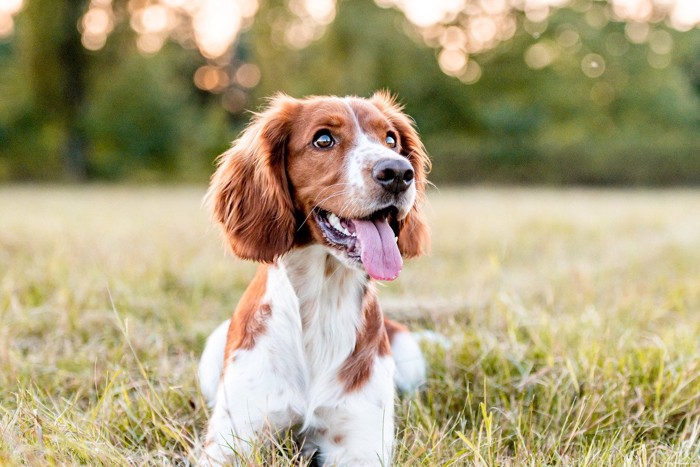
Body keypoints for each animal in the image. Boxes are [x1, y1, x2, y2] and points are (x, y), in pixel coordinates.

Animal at [194, 93, 430, 466]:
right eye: (323, 140)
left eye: (391, 139)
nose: (398, 173)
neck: (323, 300)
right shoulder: (231, 441)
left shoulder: (360, 445)